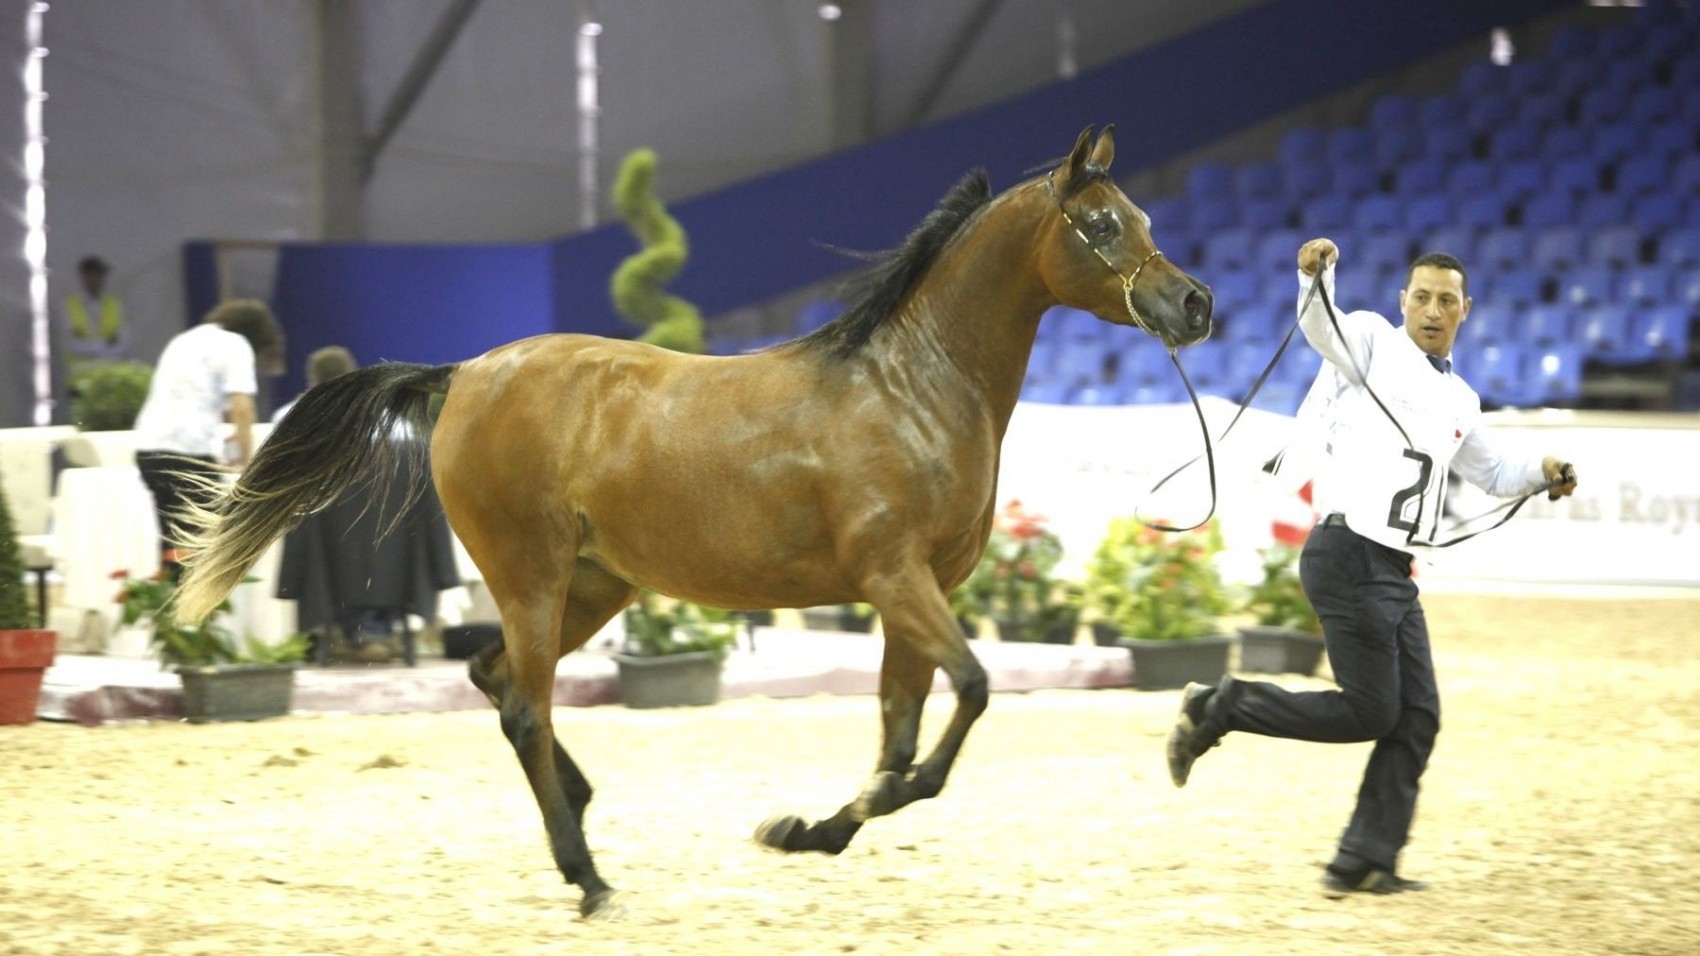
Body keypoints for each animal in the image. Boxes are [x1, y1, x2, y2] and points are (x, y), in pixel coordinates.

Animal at [172, 122, 1210, 911]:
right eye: (1101, 224)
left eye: (1146, 218)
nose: (1194, 303)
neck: (912, 385)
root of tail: (462, 373)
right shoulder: (896, 579)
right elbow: (967, 702)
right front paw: (828, 820)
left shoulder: (916, 593)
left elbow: (902, 733)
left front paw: (804, 832)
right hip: (532, 576)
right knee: (525, 705)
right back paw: (588, 878)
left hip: (593, 586)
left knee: (496, 680)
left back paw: (583, 814)